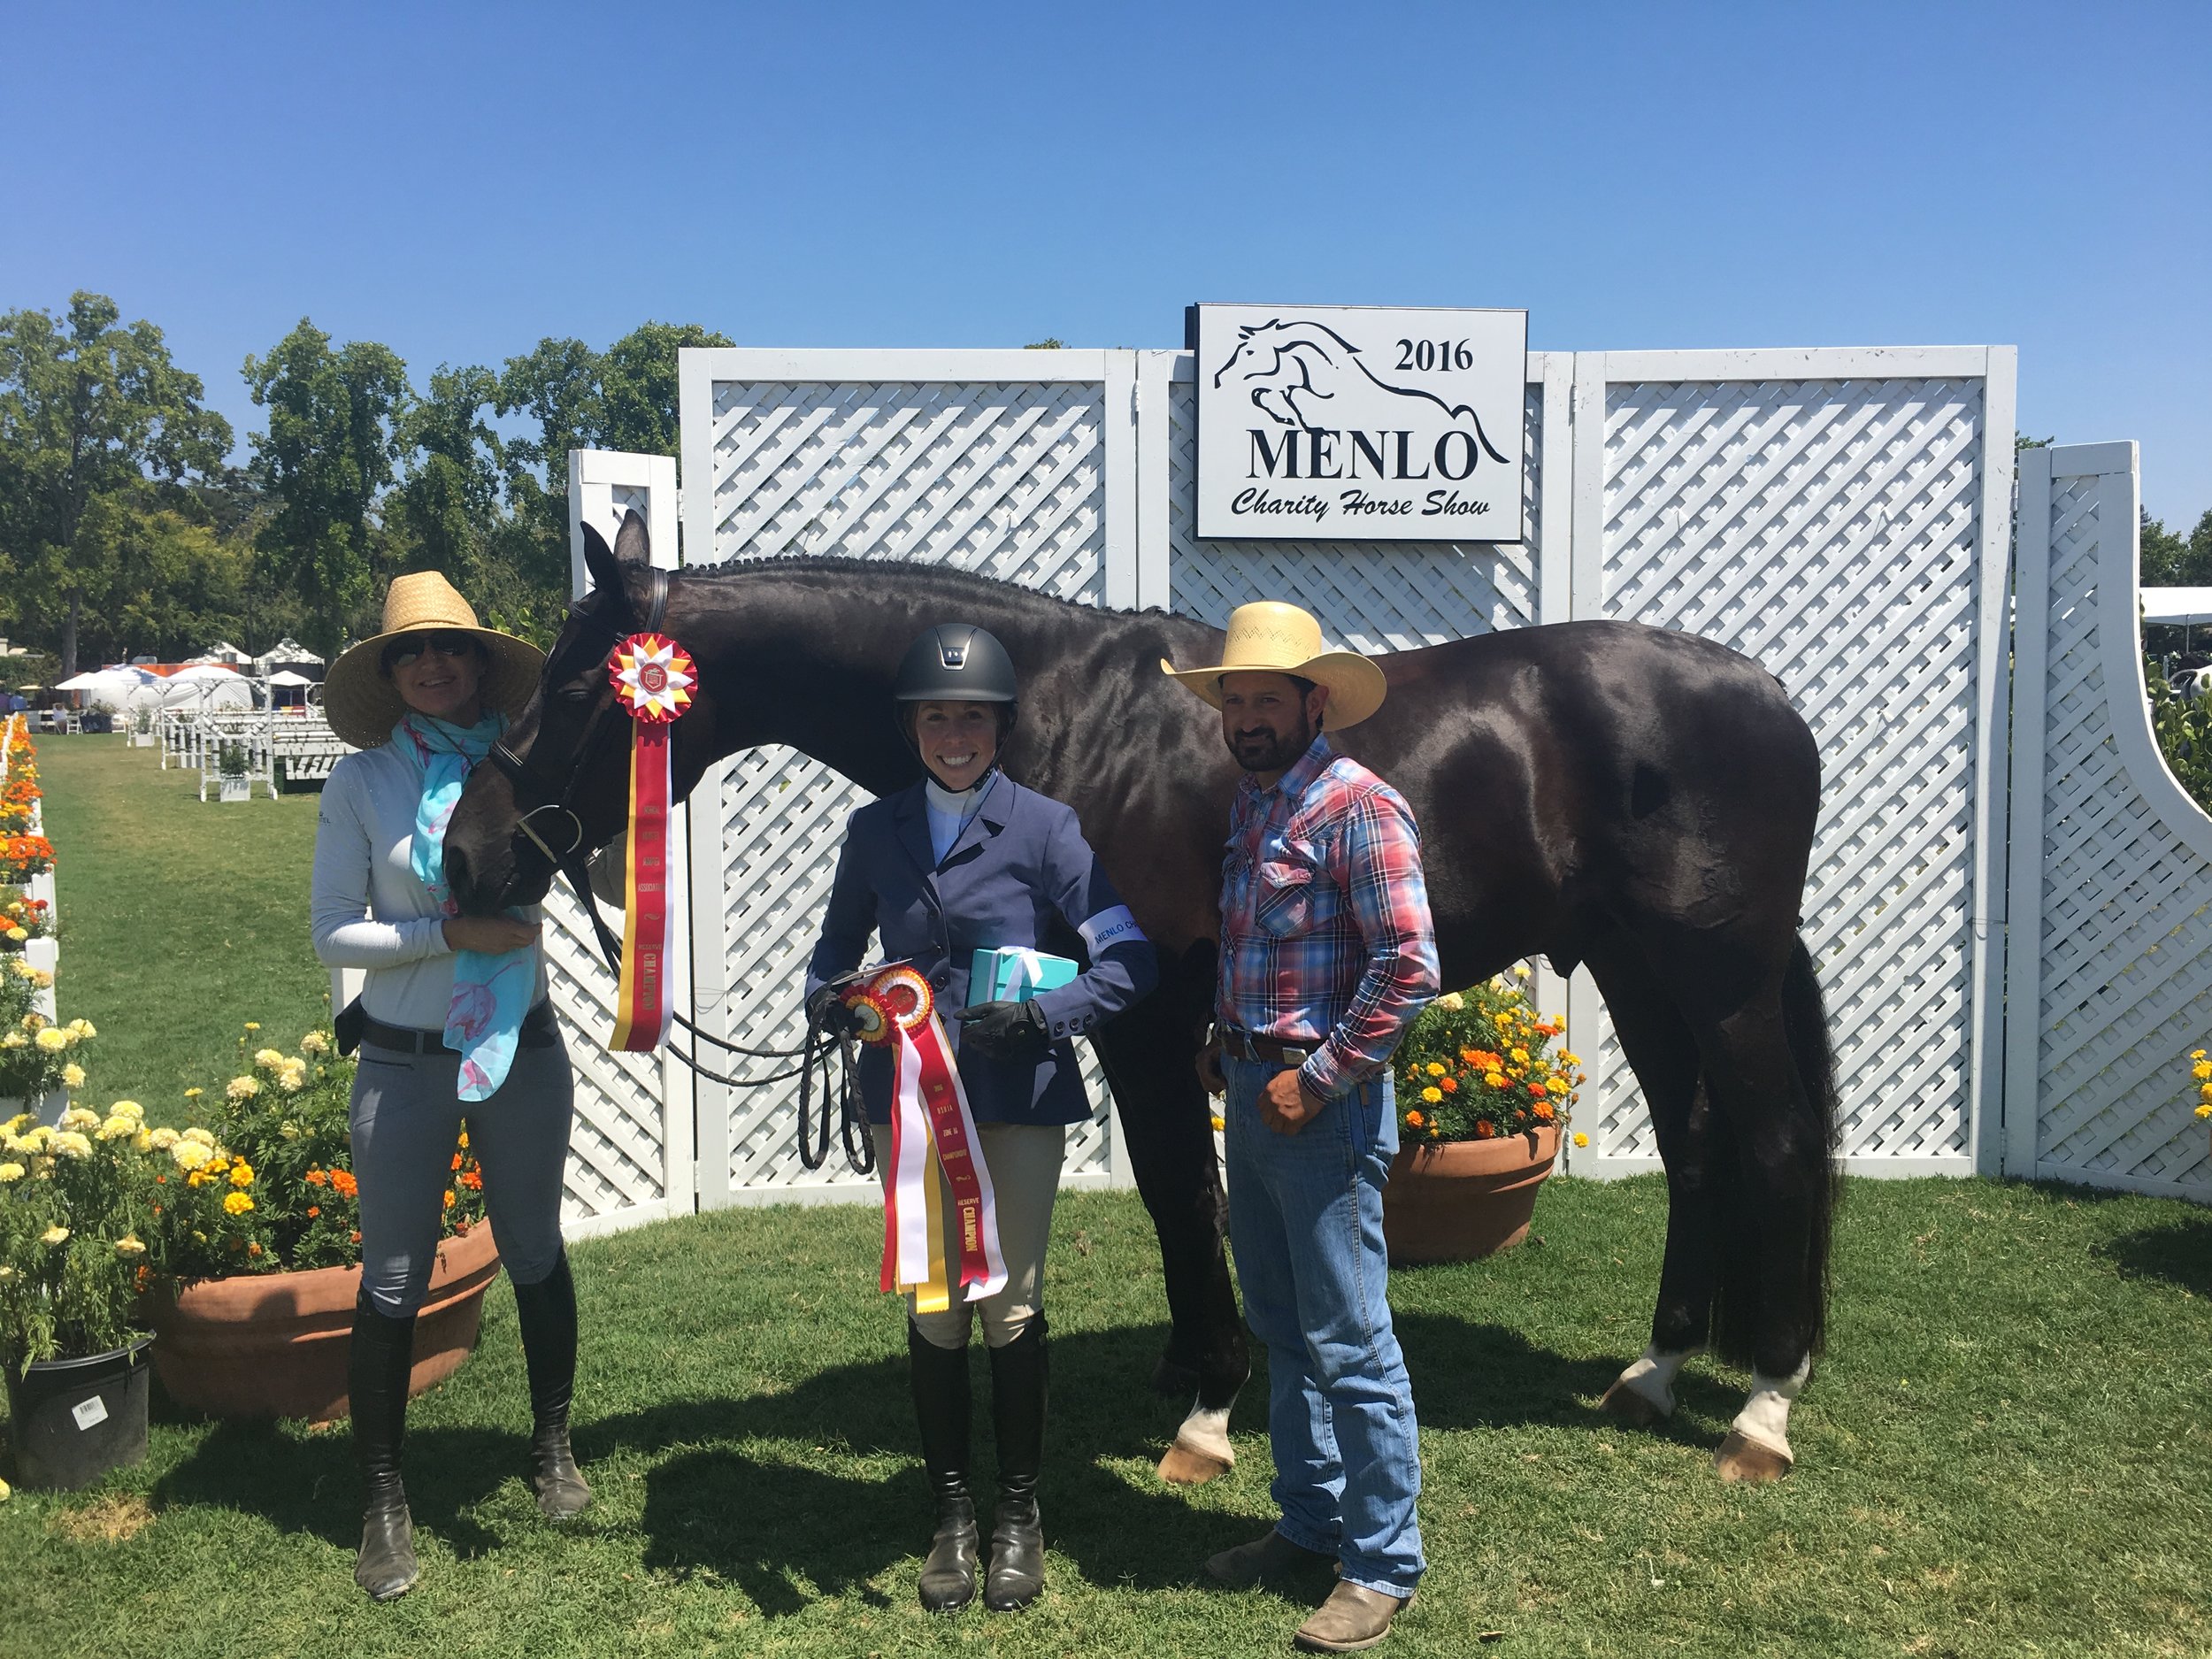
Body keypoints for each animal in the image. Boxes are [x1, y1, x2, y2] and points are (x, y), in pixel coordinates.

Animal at [440, 513, 1840, 1486]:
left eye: (577, 688)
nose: (469, 854)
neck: (1060, 716)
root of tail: (1769, 692)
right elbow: (1177, 1199)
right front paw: (1193, 1367)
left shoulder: (1147, 1016)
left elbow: (1180, 1184)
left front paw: (1211, 1410)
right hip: (1639, 971)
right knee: (1699, 1147)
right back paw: (1657, 1369)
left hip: (1716, 977)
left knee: (1772, 1141)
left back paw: (1764, 1407)